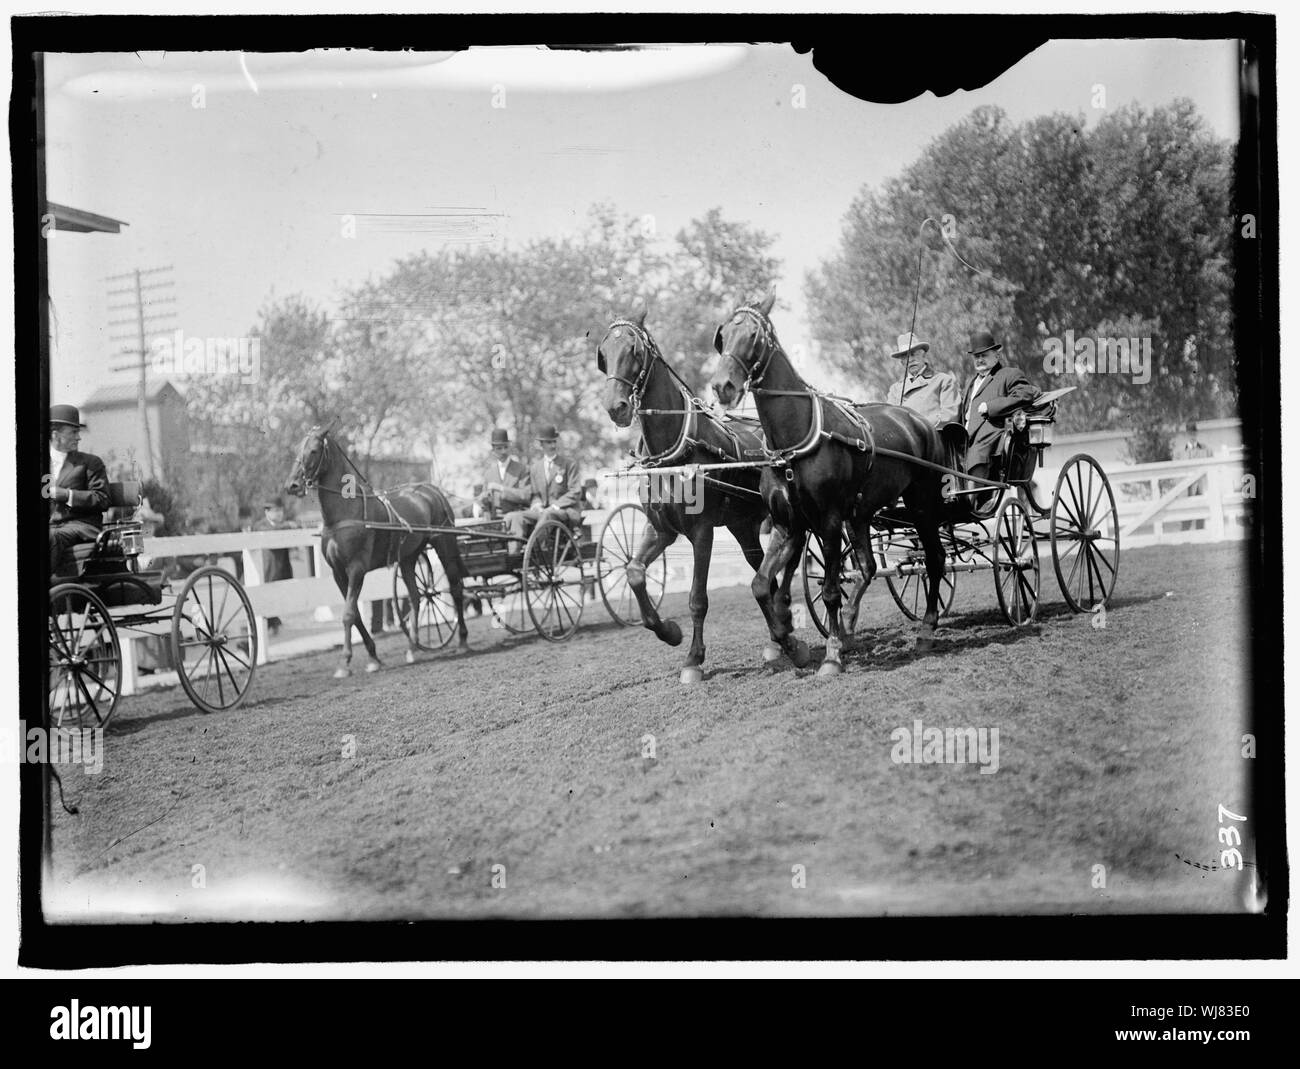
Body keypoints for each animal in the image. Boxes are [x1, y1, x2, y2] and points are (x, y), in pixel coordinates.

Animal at [284, 423, 473, 676]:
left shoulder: (356, 568)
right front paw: (373, 657)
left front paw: (345, 662)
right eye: (297, 448)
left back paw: (462, 640)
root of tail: (431, 490)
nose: (292, 485)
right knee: (416, 596)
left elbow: (348, 614)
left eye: (314, 450)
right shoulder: (338, 572)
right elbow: (355, 616)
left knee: (455, 588)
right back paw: (412, 647)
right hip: (409, 558)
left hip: (444, 544)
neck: (345, 511)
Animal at [595, 305, 795, 681]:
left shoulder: (702, 532)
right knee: (764, 573)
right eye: (603, 354)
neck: (674, 453)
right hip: (743, 527)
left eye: (634, 350)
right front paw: (669, 632)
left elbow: (697, 598)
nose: (616, 407)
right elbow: (634, 572)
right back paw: (777, 640)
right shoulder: (661, 529)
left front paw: (693, 659)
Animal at [712, 288, 946, 676]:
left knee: (935, 559)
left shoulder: (830, 520)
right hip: (862, 513)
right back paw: (851, 626)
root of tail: (920, 422)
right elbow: (762, 586)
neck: (792, 442)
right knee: (868, 567)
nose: (722, 386)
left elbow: (831, 590)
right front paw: (792, 646)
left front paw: (832, 655)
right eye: (722, 336)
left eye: (753, 336)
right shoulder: (787, 524)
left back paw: (926, 630)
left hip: (922, 504)